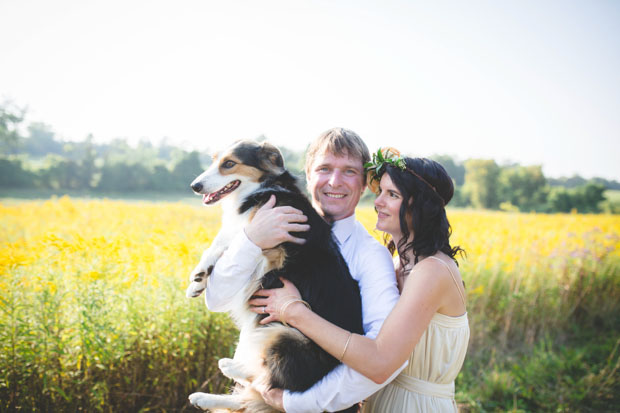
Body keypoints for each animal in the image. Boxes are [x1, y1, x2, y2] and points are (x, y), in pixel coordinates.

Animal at [184, 140, 364, 410]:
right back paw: (206, 395)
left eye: (229, 164)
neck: (261, 187)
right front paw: (198, 280)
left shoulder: (273, 246)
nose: (195, 186)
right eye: (214, 160)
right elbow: (225, 240)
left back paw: (230, 370)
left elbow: (232, 238)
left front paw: (201, 271)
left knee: (266, 383)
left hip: (285, 334)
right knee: (250, 395)